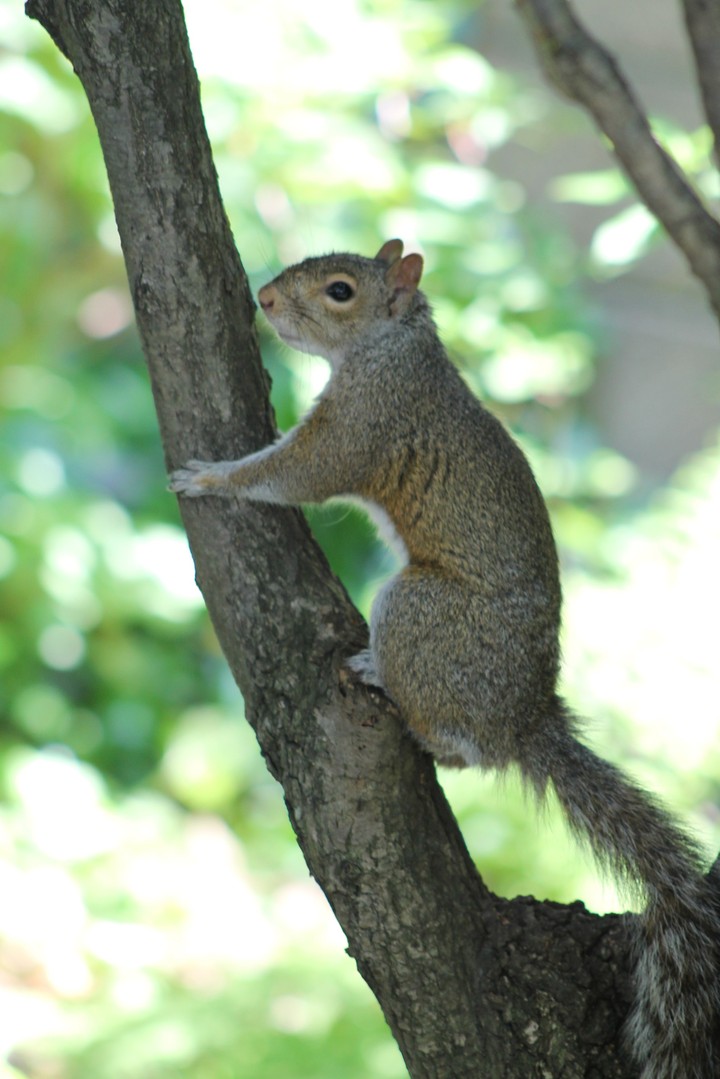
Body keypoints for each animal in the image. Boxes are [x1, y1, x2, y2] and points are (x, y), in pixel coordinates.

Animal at [170, 239, 720, 1077]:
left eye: (339, 290)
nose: (263, 299)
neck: (398, 346)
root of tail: (524, 717)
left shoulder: (365, 422)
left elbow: (295, 473)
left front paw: (210, 476)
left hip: (418, 614)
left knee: (466, 749)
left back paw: (390, 686)